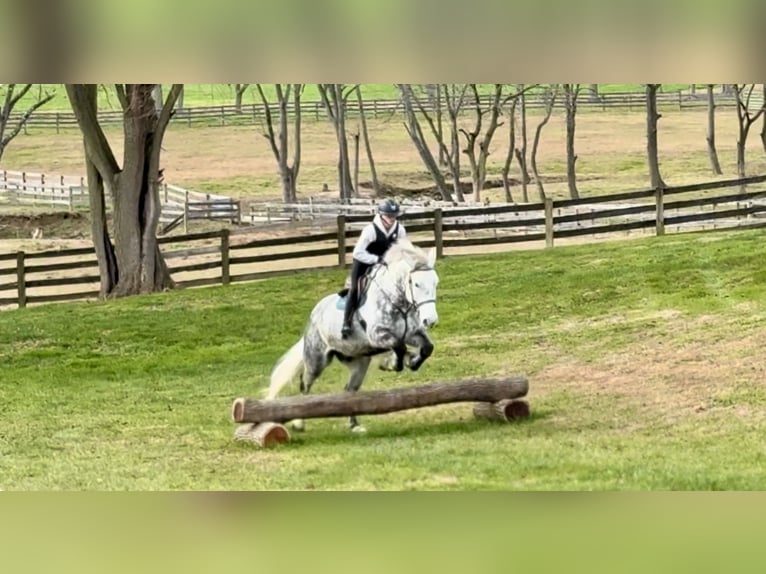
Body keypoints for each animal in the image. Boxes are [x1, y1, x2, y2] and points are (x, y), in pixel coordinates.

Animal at [265, 239, 440, 433]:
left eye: (436, 283)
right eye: (416, 284)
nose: (430, 320)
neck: (397, 302)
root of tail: (315, 313)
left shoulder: (411, 333)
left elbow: (426, 347)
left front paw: (411, 361)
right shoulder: (377, 335)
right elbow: (399, 347)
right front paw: (392, 363)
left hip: (358, 362)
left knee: (350, 390)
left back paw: (354, 425)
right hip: (316, 360)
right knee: (305, 383)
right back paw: (298, 423)